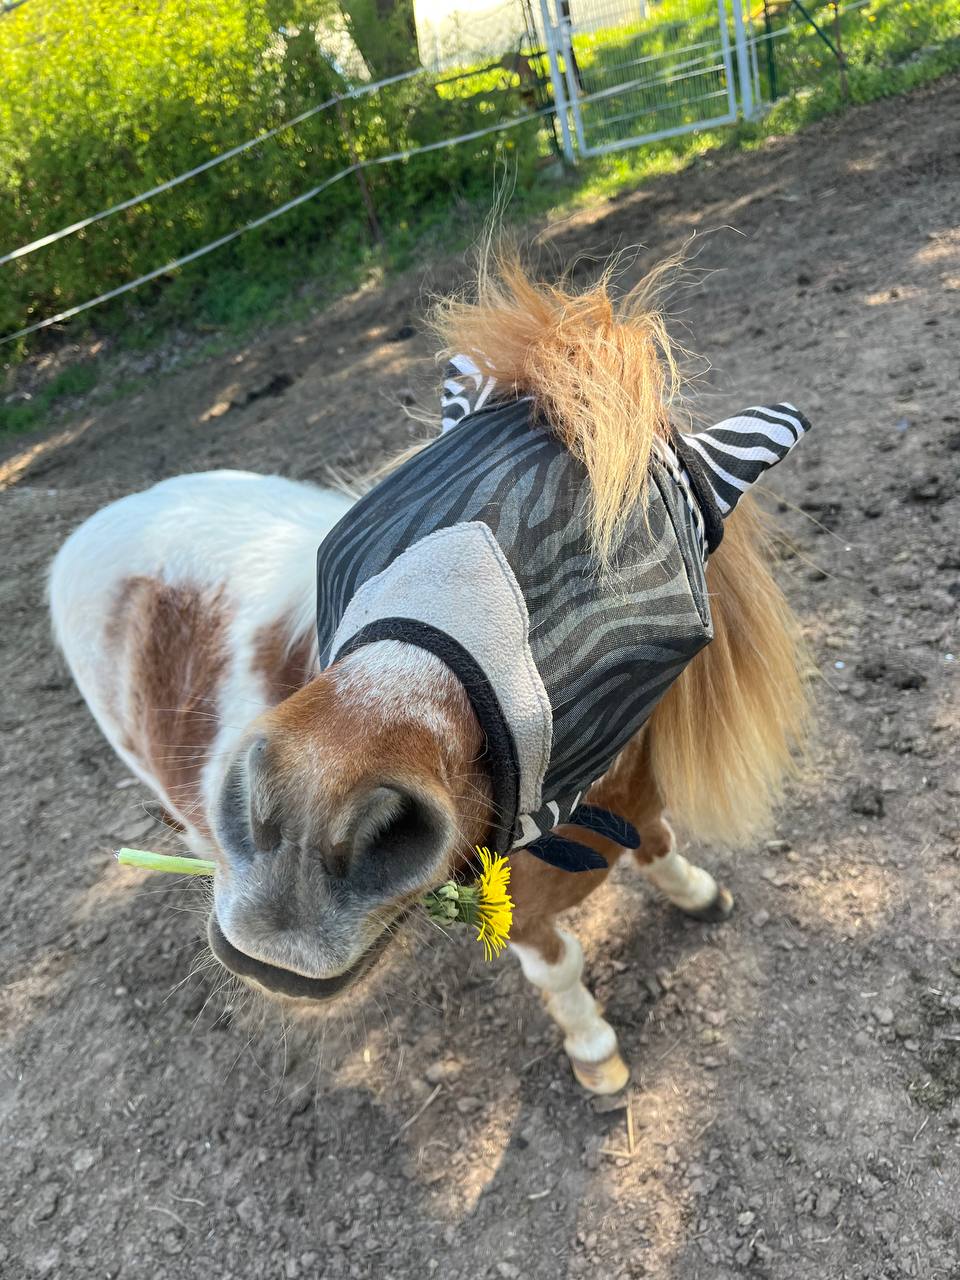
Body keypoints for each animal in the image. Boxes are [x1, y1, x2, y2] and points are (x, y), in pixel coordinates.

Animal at [49, 257, 809, 1095]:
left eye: (624, 568)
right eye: (376, 526)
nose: (304, 828)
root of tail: (98, 521)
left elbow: (662, 845)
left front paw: (698, 895)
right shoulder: (522, 919)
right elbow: (562, 968)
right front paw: (595, 1054)